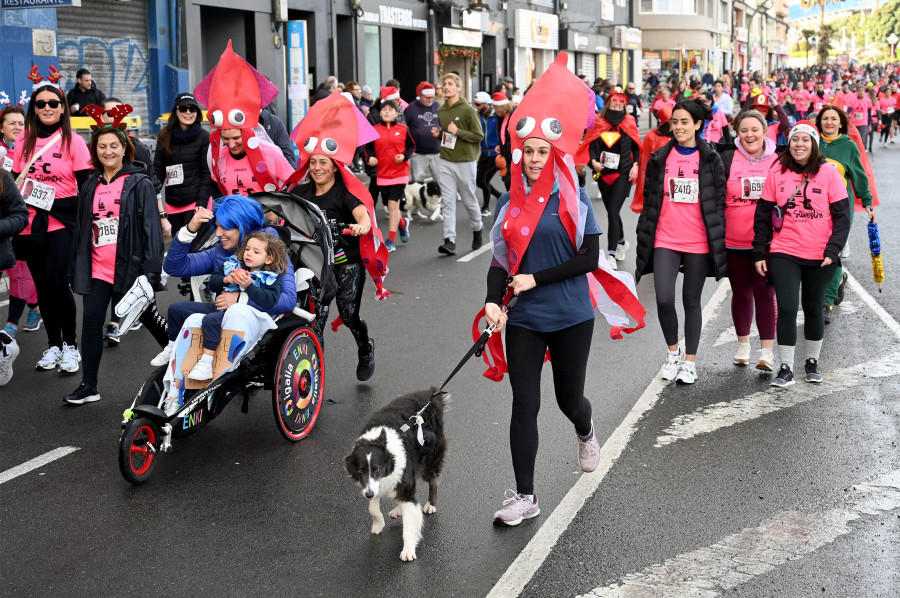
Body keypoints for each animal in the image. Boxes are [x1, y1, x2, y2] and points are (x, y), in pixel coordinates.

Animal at [342, 390, 448, 564]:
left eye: (377, 469)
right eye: (360, 470)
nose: (368, 494)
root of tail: (430, 393)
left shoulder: (402, 484)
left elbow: (409, 526)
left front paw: (408, 550)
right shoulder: (375, 486)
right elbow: (373, 508)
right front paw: (378, 524)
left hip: (430, 459)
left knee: (433, 480)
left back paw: (430, 505)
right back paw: (398, 509)